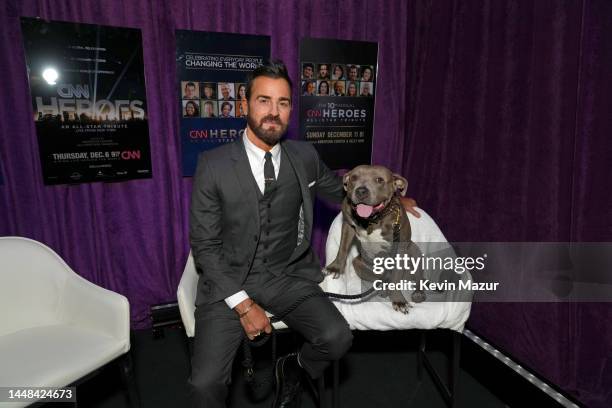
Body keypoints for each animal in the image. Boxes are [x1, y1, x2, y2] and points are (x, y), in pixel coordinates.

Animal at [326, 164, 426, 314]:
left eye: (379, 180)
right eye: (354, 177)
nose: (361, 191)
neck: (372, 220)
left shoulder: (400, 246)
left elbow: (396, 276)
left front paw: (398, 300)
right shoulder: (348, 225)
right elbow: (342, 248)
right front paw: (335, 268)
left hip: (413, 251)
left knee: (418, 277)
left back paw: (418, 293)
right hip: (359, 264)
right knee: (379, 278)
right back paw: (383, 288)